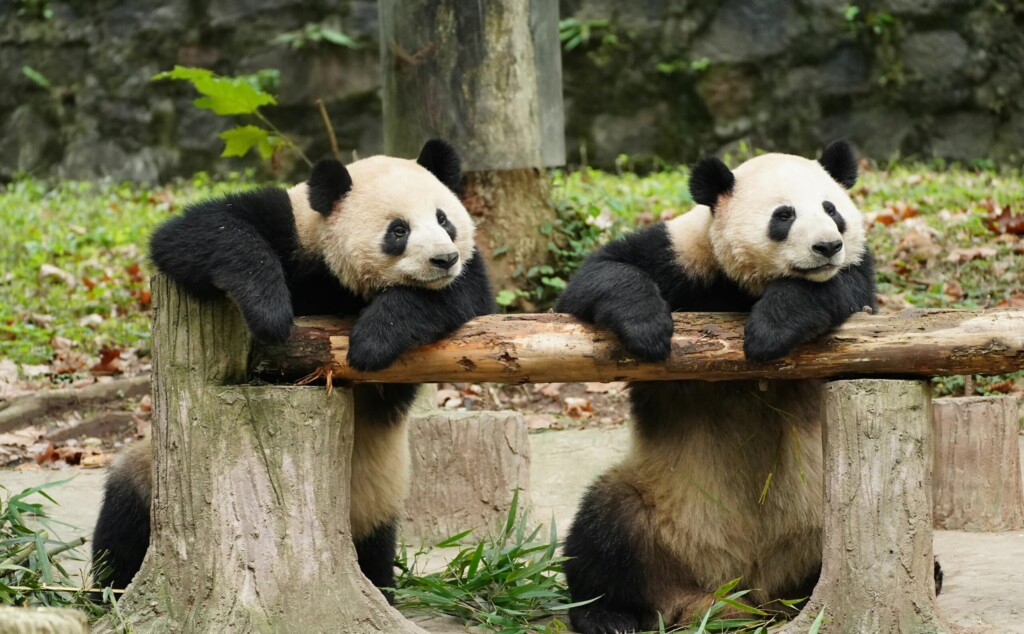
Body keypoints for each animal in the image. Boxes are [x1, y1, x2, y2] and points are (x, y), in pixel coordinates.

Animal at [91, 140, 496, 601]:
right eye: (399, 230)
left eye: (444, 220)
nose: (444, 259)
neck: (342, 282)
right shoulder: (293, 227)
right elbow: (197, 232)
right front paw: (270, 311)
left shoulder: (465, 281)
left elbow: (465, 298)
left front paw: (374, 339)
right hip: (153, 473)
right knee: (123, 516)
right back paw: (109, 588)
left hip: (379, 493)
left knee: (375, 546)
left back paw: (381, 588)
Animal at [555, 142, 880, 633]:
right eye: (783, 215)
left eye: (832, 209)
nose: (828, 246)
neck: (743, 291)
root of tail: (740, 591)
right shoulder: (682, 254)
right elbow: (597, 277)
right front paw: (648, 329)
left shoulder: (858, 277)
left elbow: (839, 290)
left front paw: (771, 330)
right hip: (653, 506)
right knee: (602, 529)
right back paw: (607, 613)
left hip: (820, 508)